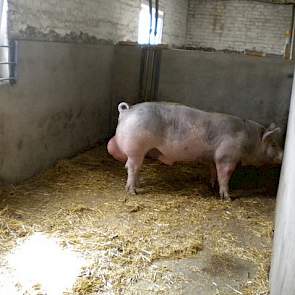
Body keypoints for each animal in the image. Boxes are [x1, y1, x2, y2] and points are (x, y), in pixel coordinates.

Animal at [107, 102, 284, 201]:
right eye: (274, 144)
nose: (283, 156)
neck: (249, 141)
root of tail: (126, 111)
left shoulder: (213, 157)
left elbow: (213, 170)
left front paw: (212, 185)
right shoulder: (226, 156)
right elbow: (225, 175)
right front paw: (227, 198)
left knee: (136, 168)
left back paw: (138, 184)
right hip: (135, 148)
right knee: (131, 167)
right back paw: (133, 191)